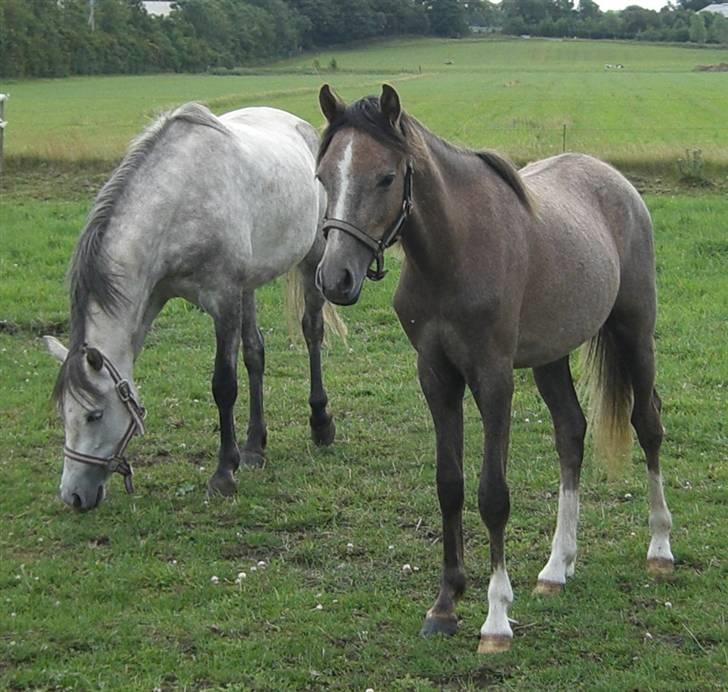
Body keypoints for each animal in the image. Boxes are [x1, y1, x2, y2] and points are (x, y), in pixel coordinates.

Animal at [44, 102, 345, 511]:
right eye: (64, 414)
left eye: (94, 415)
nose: (73, 496)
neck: (177, 201)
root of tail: (298, 125)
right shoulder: (161, 297)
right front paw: (242, 455)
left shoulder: (222, 299)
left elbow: (224, 385)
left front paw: (224, 474)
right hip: (249, 286)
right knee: (255, 353)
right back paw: (255, 446)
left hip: (311, 259)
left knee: (312, 331)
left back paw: (320, 423)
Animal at [314, 84, 674, 653]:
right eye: (323, 176)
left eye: (386, 177)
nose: (335, 278)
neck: (454, 253)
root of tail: (617, 182)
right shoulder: (436, 377)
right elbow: (449, 485)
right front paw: (444, 606)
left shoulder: (493, 379)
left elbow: (492, 496)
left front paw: (496, 618)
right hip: (551, 357)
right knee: (571, 433)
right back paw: (556, 567)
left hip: (635, 334)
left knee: (648, 426)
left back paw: (660, 549)